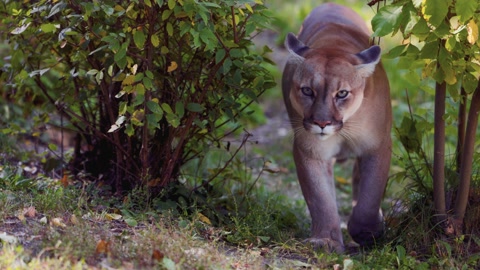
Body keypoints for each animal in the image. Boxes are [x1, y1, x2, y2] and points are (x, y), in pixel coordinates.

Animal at [282, 3, 390, 252]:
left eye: (342, 93)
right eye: (307, 91)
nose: (322, 123)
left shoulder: (378, 146)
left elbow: (370, 196)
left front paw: (367, 231)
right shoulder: (310, 150)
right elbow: (320, 197)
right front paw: (326, 240)